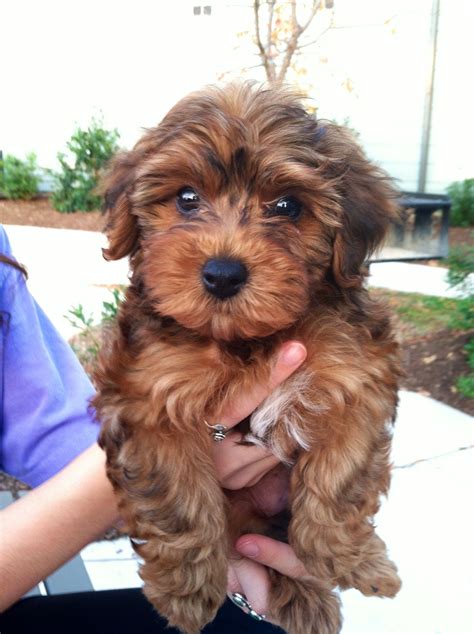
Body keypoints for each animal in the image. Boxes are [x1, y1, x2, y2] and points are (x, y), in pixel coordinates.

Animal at [94, 84, 402, 632]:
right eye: (187, 198)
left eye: (288, 206)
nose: (222, 273)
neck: (246, 340)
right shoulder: (149, 391)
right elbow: (179, 497)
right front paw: (186, 589)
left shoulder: (355, 374)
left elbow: (340, 477)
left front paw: (352, 559)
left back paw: (305, 594)